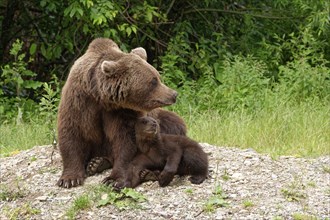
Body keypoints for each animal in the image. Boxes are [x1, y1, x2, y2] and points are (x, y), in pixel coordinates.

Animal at [56, 37, 186, 187]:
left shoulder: (123, 111)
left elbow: (126, 139)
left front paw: (113, 178)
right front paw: (70, 179)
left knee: (174, 124)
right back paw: (96, 163)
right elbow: (72, 132)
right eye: (153, 81)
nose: (173, 94)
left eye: (158, 77)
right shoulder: (79, 101)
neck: (101, 97)